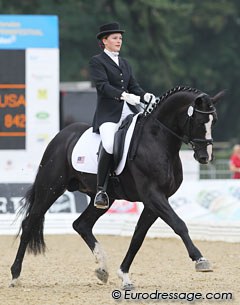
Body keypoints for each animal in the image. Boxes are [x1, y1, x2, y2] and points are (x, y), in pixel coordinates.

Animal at [9, 85, 223, 288]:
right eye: (199, 121)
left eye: (214, 121)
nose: (205, 157)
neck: (157, 141)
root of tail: (61, 136)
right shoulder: (153, 195)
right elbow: (179, 224)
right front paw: (200, 260)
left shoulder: (154, 201)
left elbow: (138, 236)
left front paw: (124, 275)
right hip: (50, 188)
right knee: (29, 223)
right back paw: (15, 275)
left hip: (105, 198)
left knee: (81, 224)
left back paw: (102, 269)